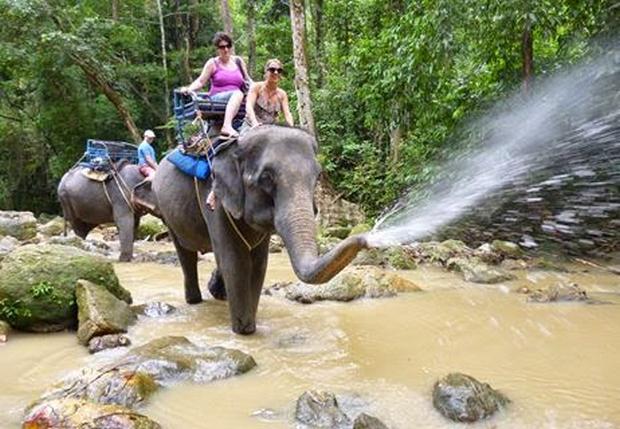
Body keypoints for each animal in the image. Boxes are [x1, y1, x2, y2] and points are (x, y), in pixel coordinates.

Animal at [153, 124, 368, 334]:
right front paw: (243, 331)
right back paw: (194, 300)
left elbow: (259, 264)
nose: (365, 239)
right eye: (266, 178)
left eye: (316, 178)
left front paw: (249, 327)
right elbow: (235, 261)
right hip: (166, 212)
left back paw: (218, 293)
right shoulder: (215, 199)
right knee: (185, 254)